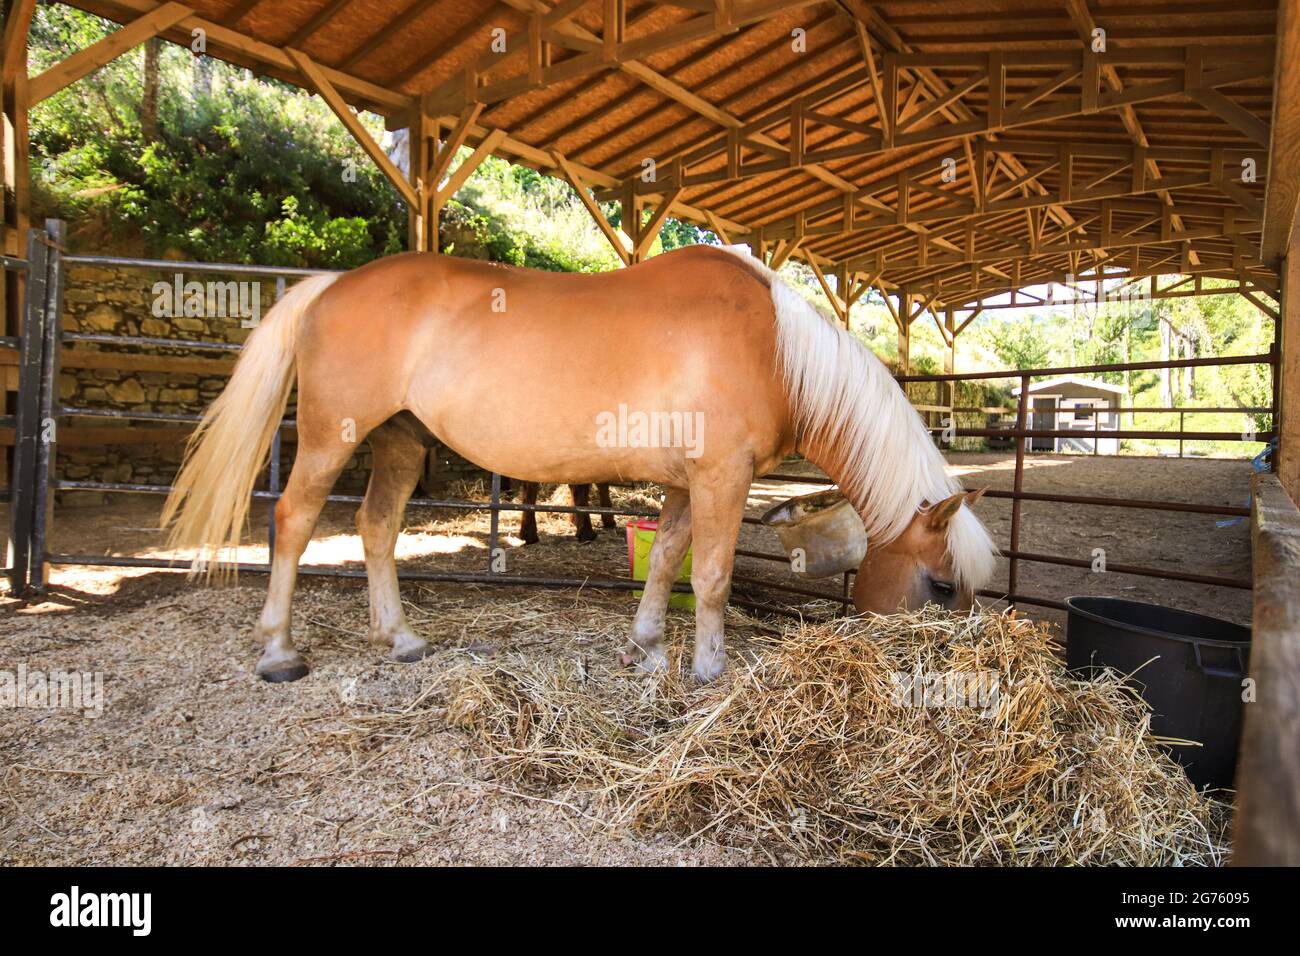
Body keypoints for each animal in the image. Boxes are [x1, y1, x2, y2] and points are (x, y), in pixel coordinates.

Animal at [161, 245, 997, 683]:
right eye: (941, 585)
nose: (941, 670)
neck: (775, 349)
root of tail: (333, 285)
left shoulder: (686, 484)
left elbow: (668, 560)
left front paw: (649, 647)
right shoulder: (722, 478)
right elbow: (712, 577)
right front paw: (710, 673)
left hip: (400, 441)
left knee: (375, 529)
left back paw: (398, 638)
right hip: (334, 437)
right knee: (295, 520)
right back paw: (278, 650)